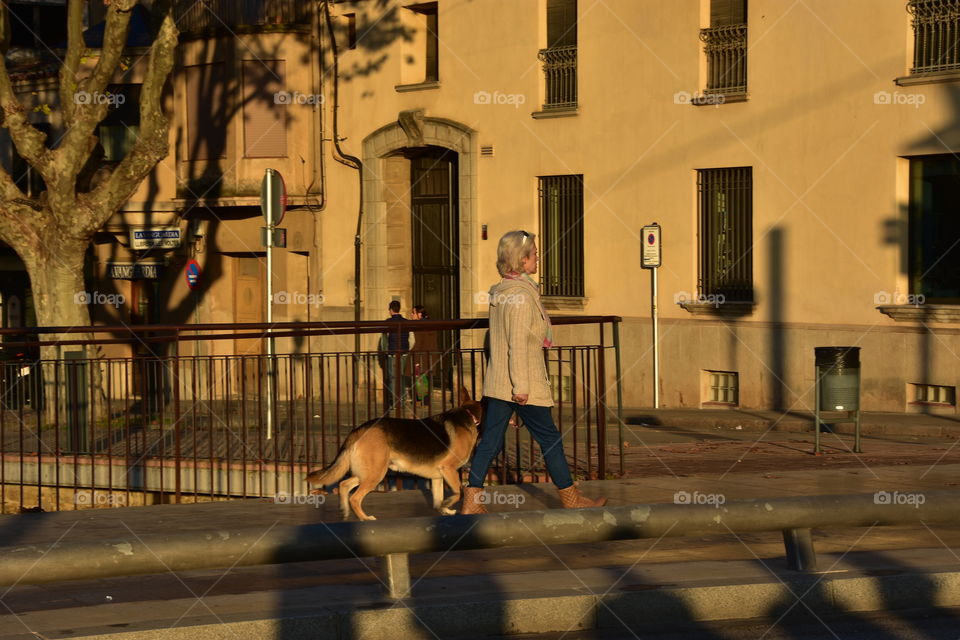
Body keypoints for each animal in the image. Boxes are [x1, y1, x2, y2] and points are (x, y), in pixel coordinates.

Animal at [306, 384, 480, 520]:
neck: (468, 414)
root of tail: (358, 429)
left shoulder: (438, 477)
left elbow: (439, 500)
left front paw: (445, 509)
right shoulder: (449, 469)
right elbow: (459, 492)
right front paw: (448, 505)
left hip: (368, 472)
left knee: (343, 485)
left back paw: (345, 512)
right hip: (376, 473)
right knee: (355, 497)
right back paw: (365, 518)